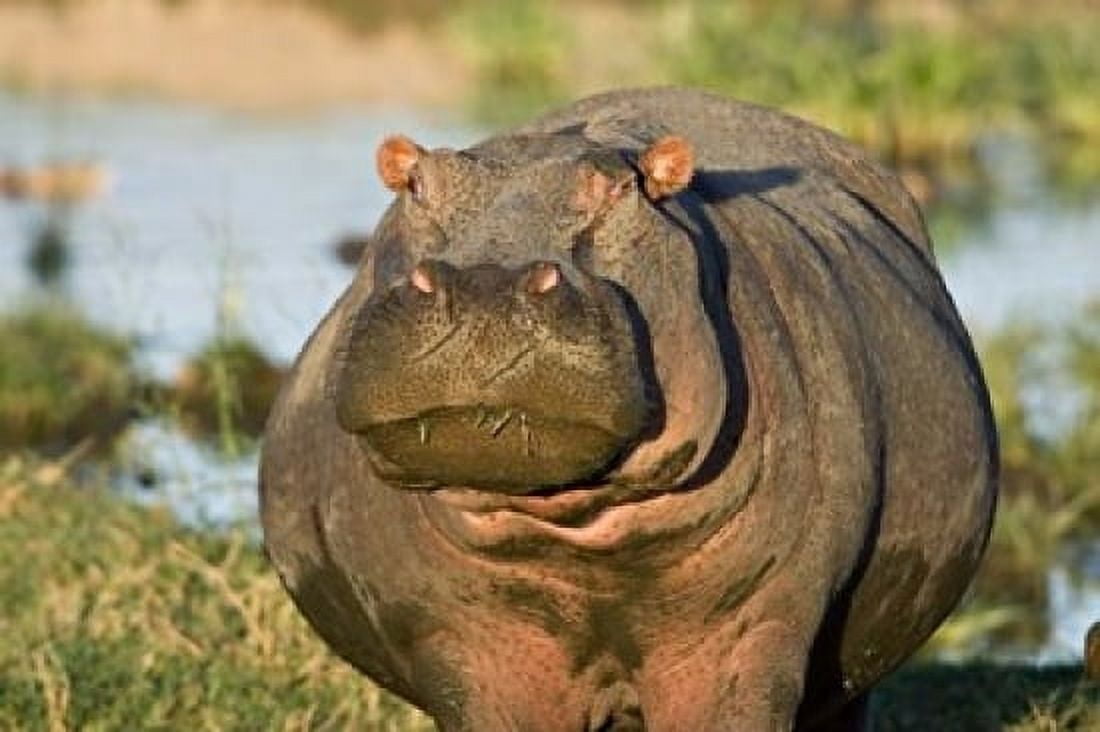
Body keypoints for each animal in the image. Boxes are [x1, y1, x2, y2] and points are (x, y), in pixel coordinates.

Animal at [260, 87, 998, 731]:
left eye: (619, 189)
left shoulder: (746, 632)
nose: (484, 287)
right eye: (414, 185)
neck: (573, 530)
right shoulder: (467, 641)